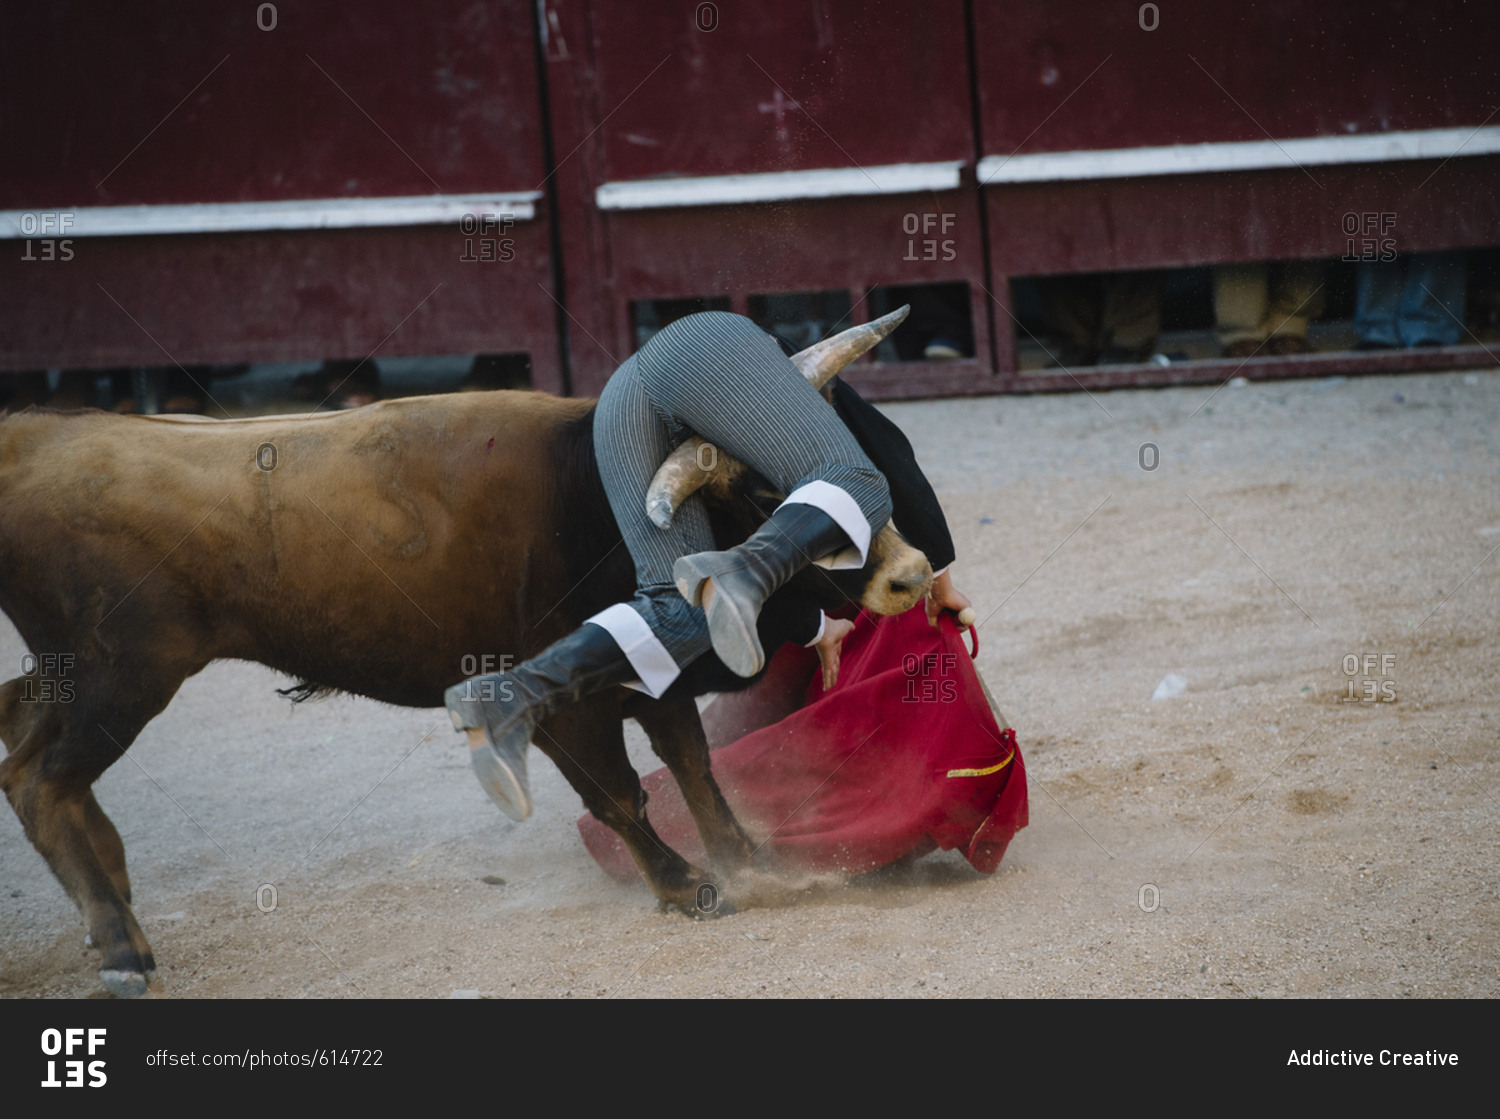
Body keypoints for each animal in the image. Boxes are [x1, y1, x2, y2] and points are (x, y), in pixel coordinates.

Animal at [0, 307, 930, 996]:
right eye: (770, 490)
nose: (913, 574)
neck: (588, 495)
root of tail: (31, 437)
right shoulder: (570, 710)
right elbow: (620, 794)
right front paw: (690, 887)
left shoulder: (651, 687)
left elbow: (694, 767)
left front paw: (748, 862)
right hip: (118, 676)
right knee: (39, 778)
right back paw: (125, 949)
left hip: (74, 673)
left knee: (26, 740)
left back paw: (114, 901)